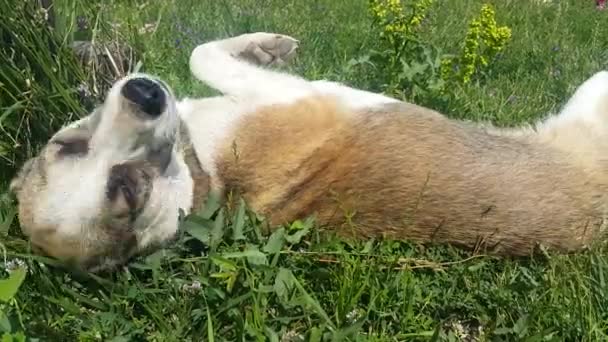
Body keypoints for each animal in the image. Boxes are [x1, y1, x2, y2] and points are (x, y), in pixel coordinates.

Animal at [7, 32, 608, 272]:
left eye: (66, 145)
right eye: (129, 192)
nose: (145, 94)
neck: (201, 173)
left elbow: (202, 54)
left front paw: (263, 46)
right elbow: (206, 55)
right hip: (595, 94)